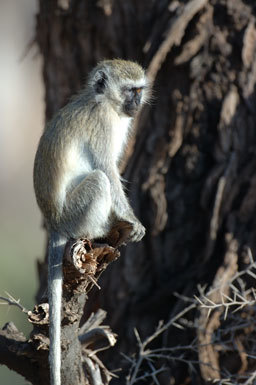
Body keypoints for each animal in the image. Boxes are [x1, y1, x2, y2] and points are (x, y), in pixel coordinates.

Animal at [34, 58, 150, 382]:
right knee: (99, 180)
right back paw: (101, 229)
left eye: (140, 90)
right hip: (74, 214)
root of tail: (54, 222)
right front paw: (131, 220)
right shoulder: (102, 124)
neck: (104, 102)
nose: (137, 104)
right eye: (130, 91)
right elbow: (108, 170)